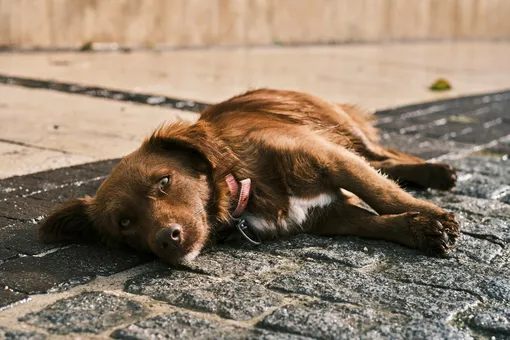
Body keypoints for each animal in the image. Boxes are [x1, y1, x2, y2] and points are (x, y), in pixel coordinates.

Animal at [36, 89, 458, 264]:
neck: (243, 185)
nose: (167, 240)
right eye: (124, 223)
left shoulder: (328, 156)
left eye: (164, 182)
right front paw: (419, 230)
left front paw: (431, 215)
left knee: (381, 156)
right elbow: (373, 222)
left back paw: (435, 171)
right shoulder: (328, 216)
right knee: (382, 161)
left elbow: (380, 191)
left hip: (340, 127)